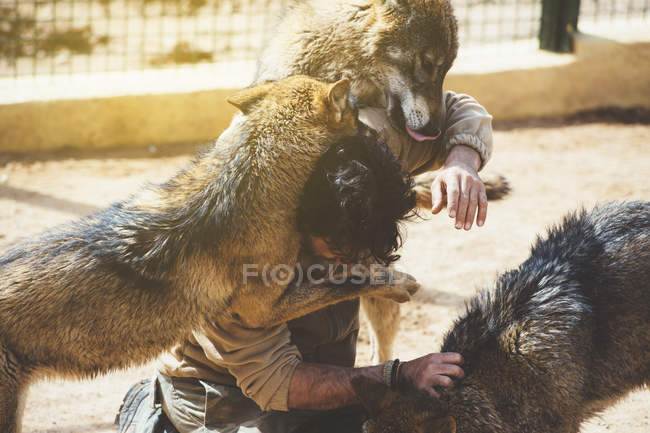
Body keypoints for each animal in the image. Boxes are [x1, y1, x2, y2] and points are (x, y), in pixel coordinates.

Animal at [0, 75, 418, 432]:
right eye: (358, 117)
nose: (385, 138)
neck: (250, 179)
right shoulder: (260, 312)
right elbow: (345, 282)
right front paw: (396, 282)